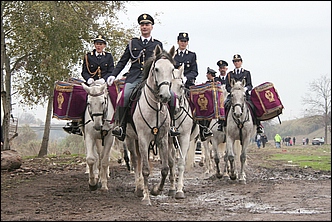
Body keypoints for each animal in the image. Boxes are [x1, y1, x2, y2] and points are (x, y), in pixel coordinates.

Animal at [124, 44, 176, 205]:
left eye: (172, 69)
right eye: (156, 69)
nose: (165, 96)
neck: (155, 108)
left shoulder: (162, 138)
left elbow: (165, 168)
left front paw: (156, 190)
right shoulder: (143, 138)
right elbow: (145, 169)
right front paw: (147, 197)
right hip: (130, 138)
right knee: (135, 160)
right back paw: (139, 188)